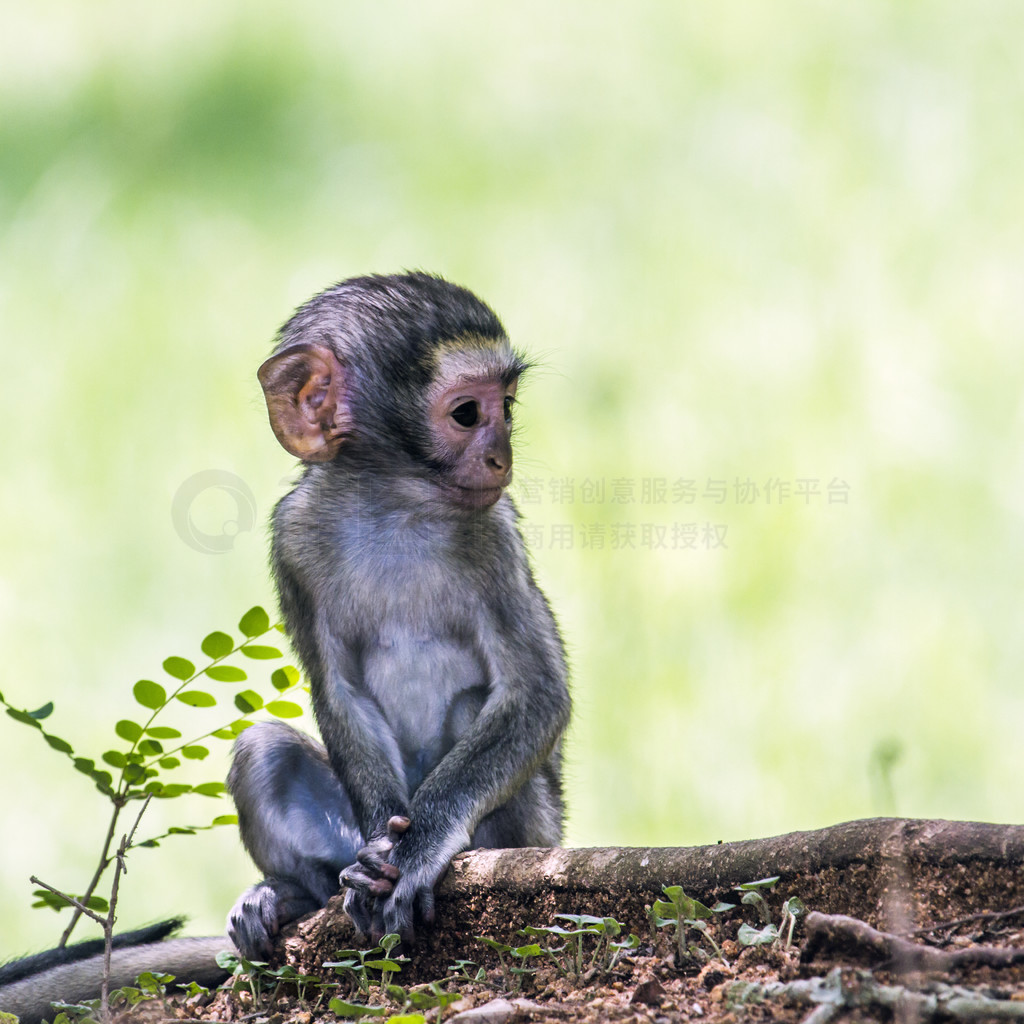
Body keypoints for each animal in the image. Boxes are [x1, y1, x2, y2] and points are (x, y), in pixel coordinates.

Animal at [227, 274, 573, 958]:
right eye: (467, 414)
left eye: (507, 406)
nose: (502, 458)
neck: (395, 507)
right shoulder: (294, 539)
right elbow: (341, 692)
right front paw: (378, 860)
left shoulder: (494, 535)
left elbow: (538, 692)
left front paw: (414, 851)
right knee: (263, 750)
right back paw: (295, 895)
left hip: (542, 834)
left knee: (474, 708)